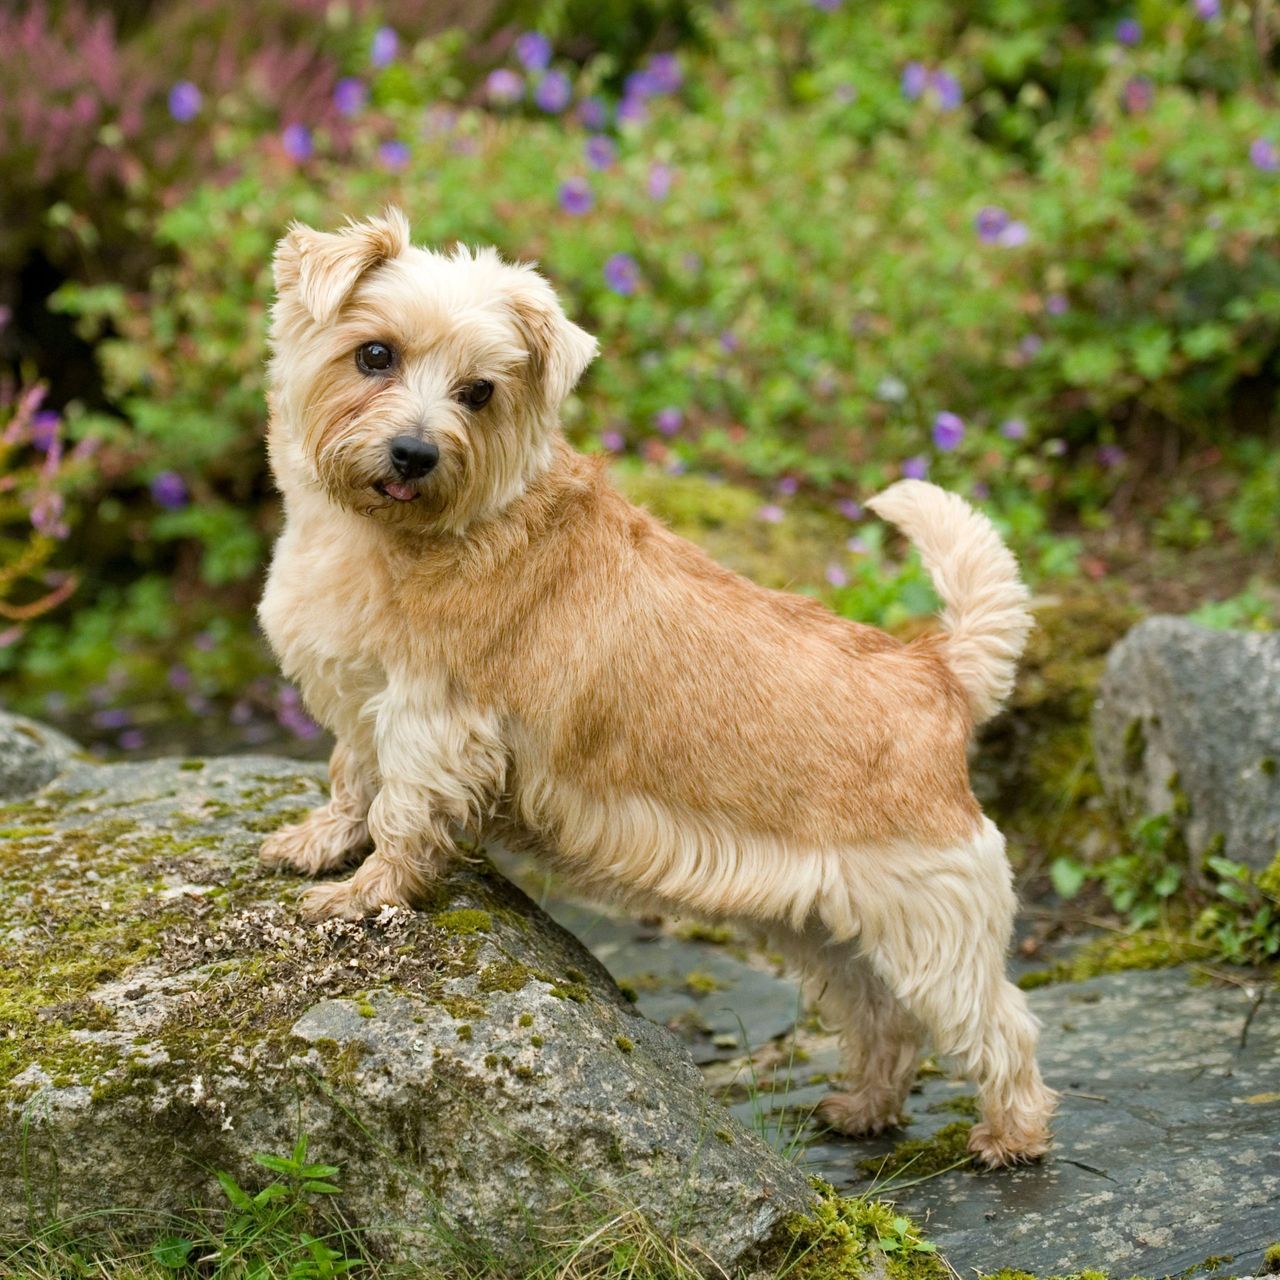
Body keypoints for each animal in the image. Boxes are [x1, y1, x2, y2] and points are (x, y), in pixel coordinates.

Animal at [257, 209, 1049, 1172]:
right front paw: (317, 844)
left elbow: (402, 815)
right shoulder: (368, 707)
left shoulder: (434, 721)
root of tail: (938, 670)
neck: (393, 533)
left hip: (931, 925)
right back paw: (863, 1107)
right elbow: (349, 779)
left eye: (480, 392)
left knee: (999, 1025)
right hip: (822, 928)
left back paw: (1010, 1136)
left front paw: (366, 894)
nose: (414, 453)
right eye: (374, 354)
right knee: (881, 1019)